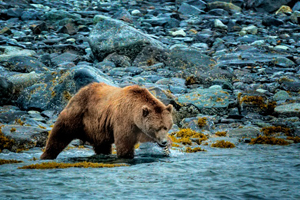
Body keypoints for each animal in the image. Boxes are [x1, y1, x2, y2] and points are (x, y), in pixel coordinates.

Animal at [39, 81, 173, 159]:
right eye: (156, 128)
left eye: (166, 127)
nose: (163, 141)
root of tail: (79, 91)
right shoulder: (124, 121)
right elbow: (124, 144)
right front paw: (126, 156)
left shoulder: (141, 130)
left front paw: (166, 149)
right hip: (77, 115)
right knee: (59, 135)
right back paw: (46, 155)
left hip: (97, 130)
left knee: (102, 146)